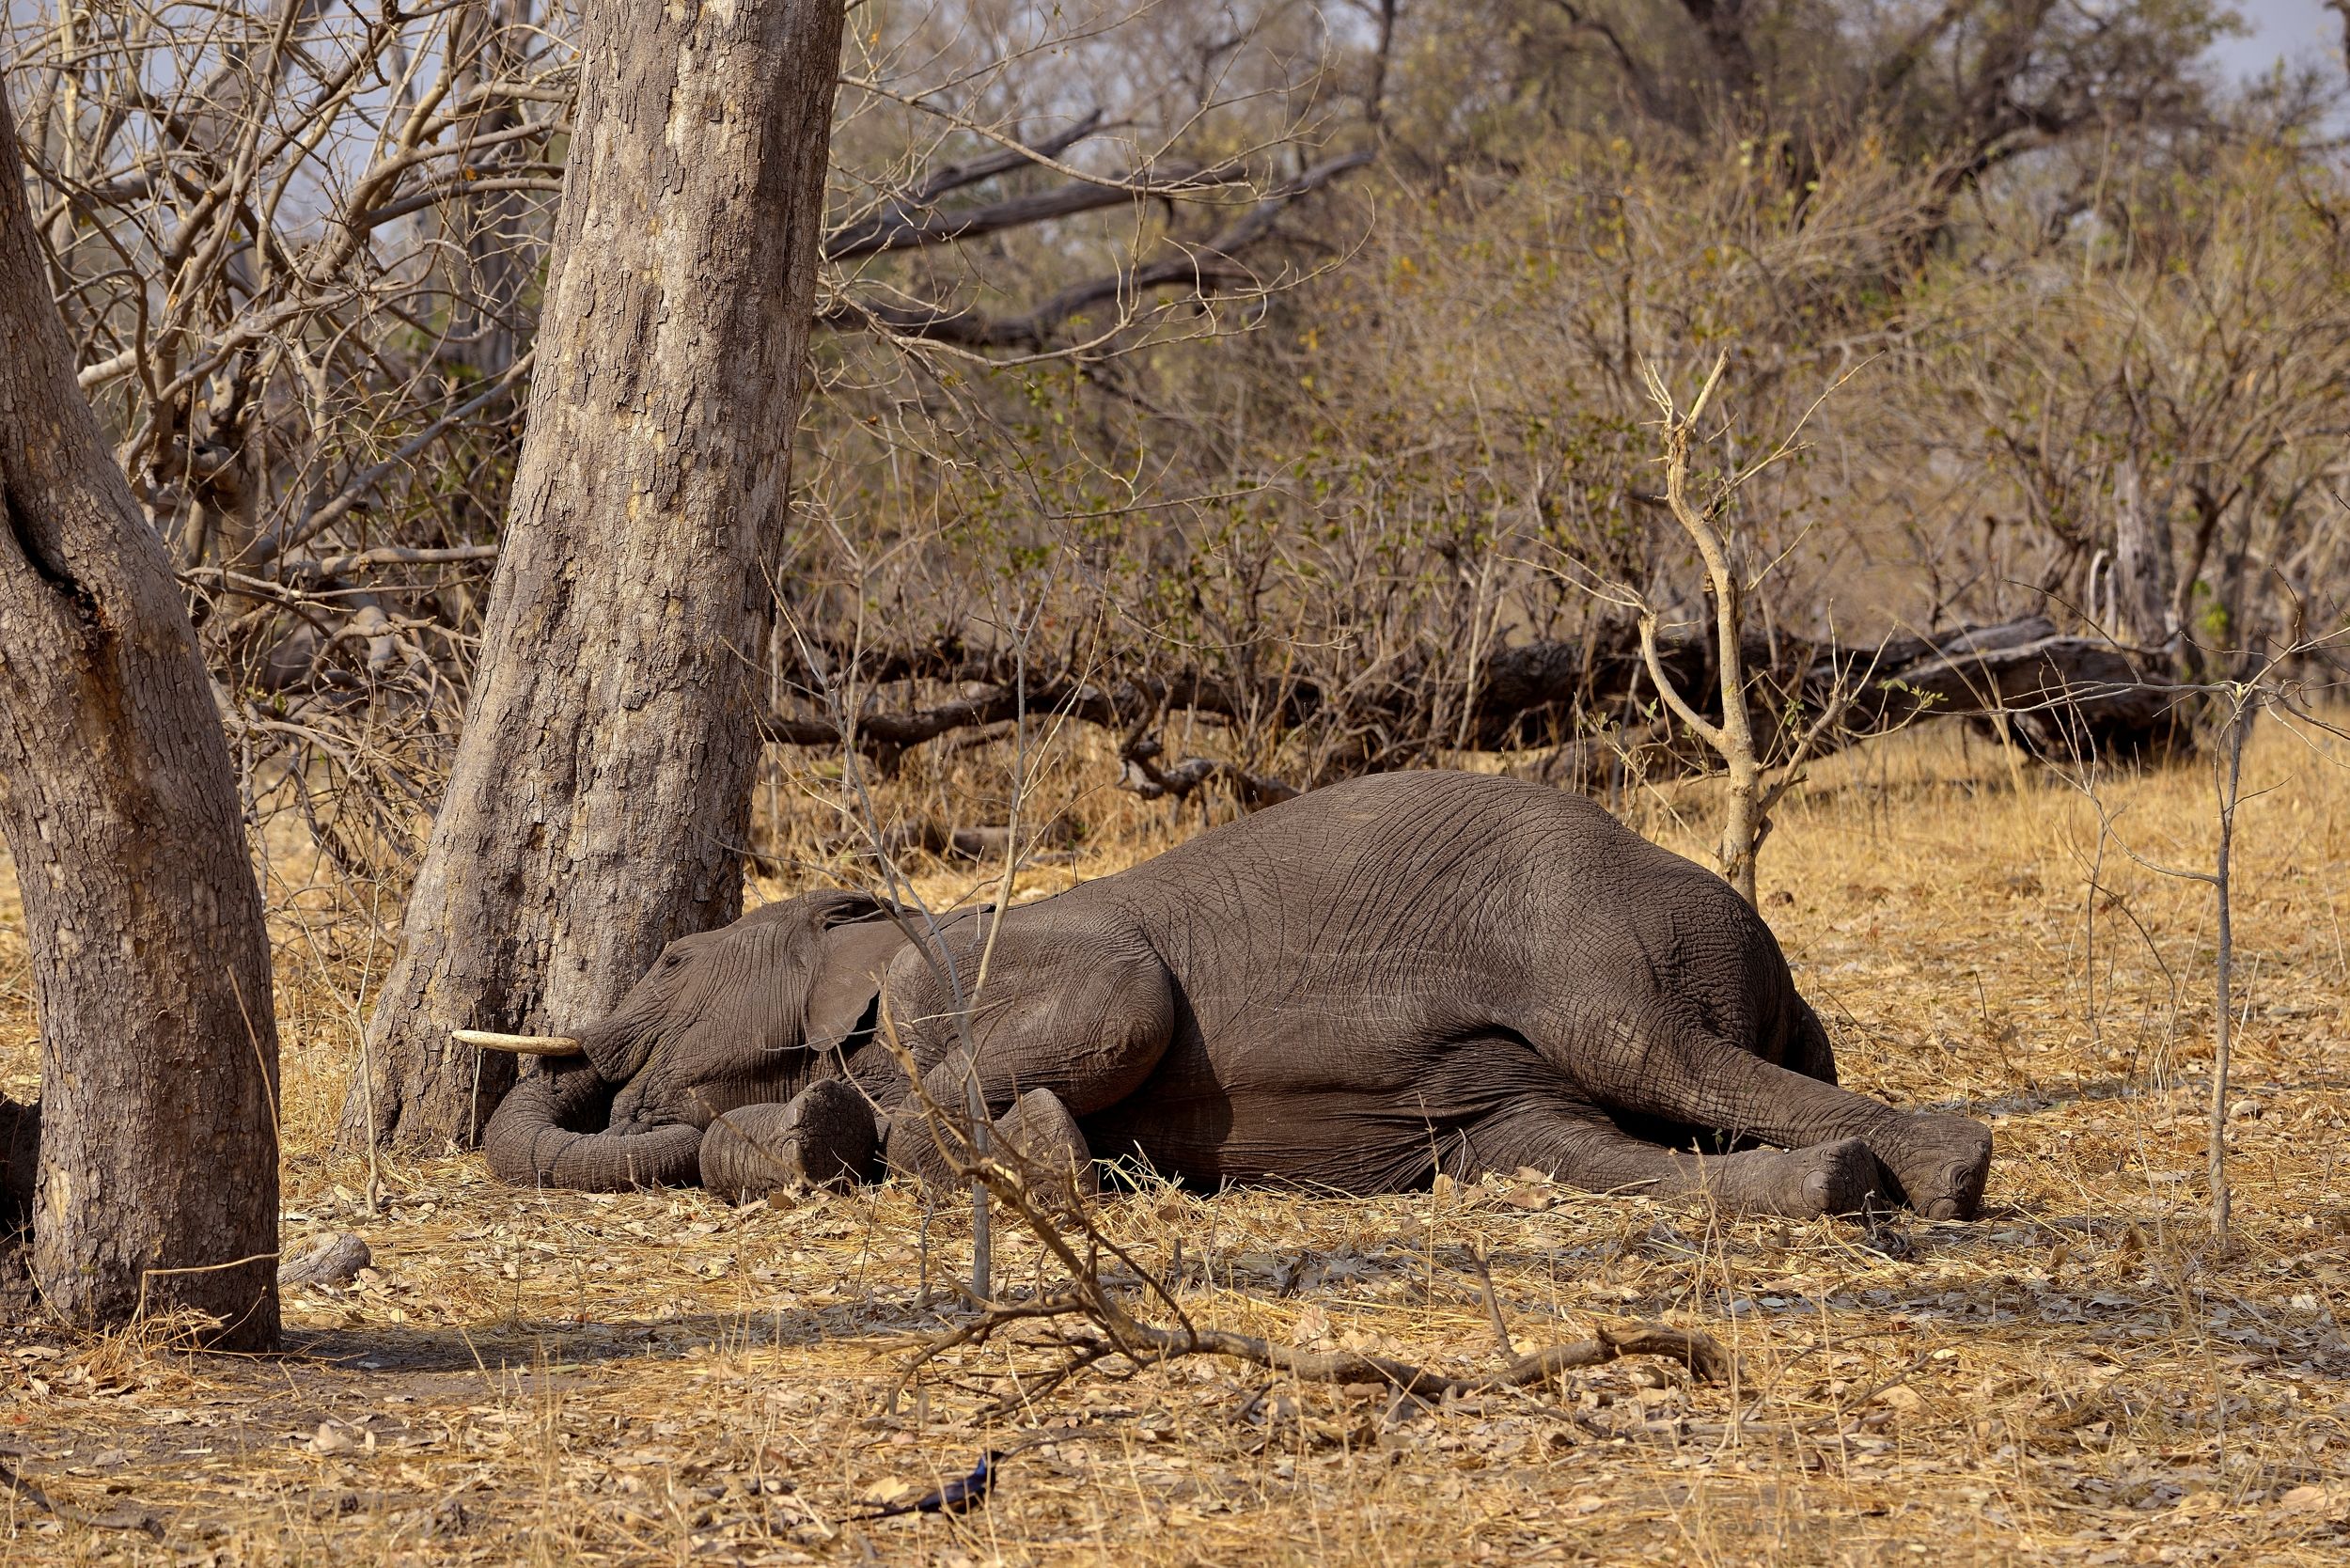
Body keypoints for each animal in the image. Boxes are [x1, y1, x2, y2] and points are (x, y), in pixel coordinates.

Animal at [476, 771, 1994, 1220]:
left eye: (673, 962)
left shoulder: (993, 960)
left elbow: (1127, 1000)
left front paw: (1040, 1157)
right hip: (1502, 1124)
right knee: (1566, 1152)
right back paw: (1839, 1185)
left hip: (1596, 936)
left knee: (1653, 1049)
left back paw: (1949, 1167)